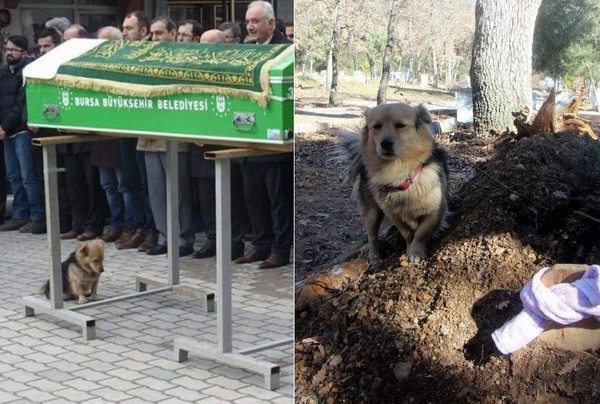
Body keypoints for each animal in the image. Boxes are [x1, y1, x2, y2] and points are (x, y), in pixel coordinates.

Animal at [340, 103, 448, 268]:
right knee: (372, 236)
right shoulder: (394, 215)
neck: (398, 172)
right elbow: (408, 233)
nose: (385, 143)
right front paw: (410, 249)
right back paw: (374, 259)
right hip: (371, 213)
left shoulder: (435, 212)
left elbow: (421, 233)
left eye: (400, 125)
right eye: (376, 127)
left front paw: (416, 252)